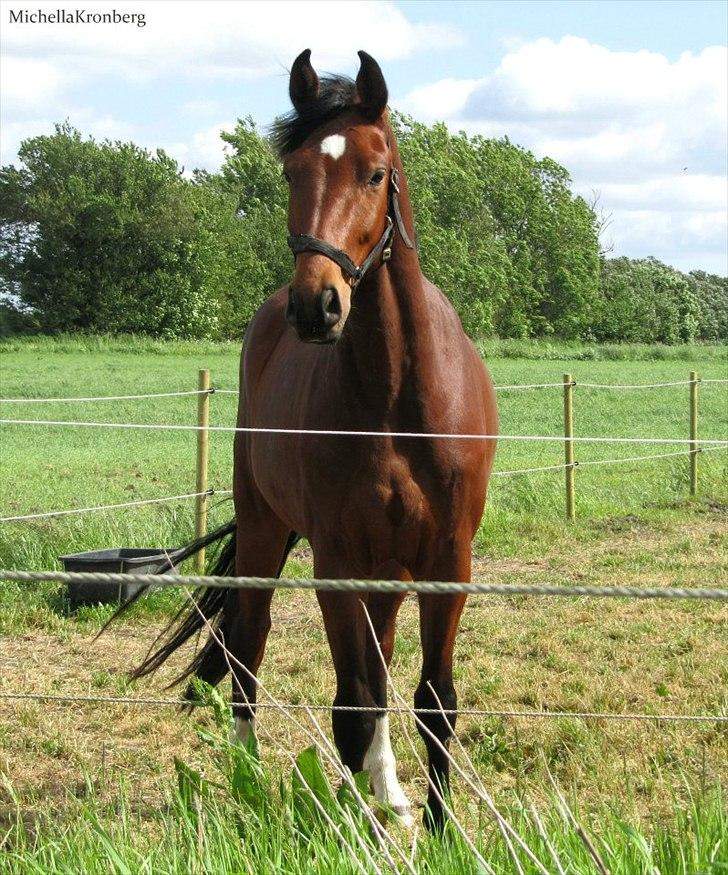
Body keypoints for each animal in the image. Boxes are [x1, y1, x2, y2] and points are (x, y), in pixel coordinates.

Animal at [129, 51, 494, 832]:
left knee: (379, 661)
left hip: (389, 567)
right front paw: (348, 825)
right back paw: (246, 778)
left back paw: (389, 792)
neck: (398, 397)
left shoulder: (448, 559)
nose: (317, 304)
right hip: (268, 531)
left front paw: (441, 827)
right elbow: (351, 704)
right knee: (248, 642)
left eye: (375, 173)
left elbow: (432, 699)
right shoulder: (336, 558)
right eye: (293, 172)